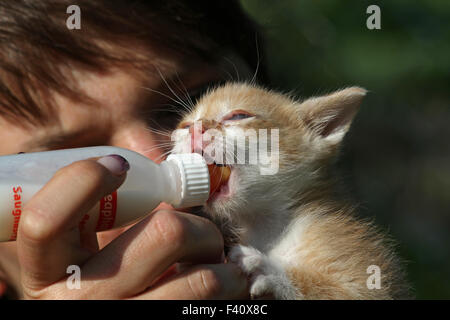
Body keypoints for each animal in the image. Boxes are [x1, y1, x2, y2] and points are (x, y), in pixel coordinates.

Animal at [171, 83, 410, 300]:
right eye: (184, 125)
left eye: (238, 116)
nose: (194, 129)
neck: (266, 227)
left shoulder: (370, 275)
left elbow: (337, 290)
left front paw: (270, 271)